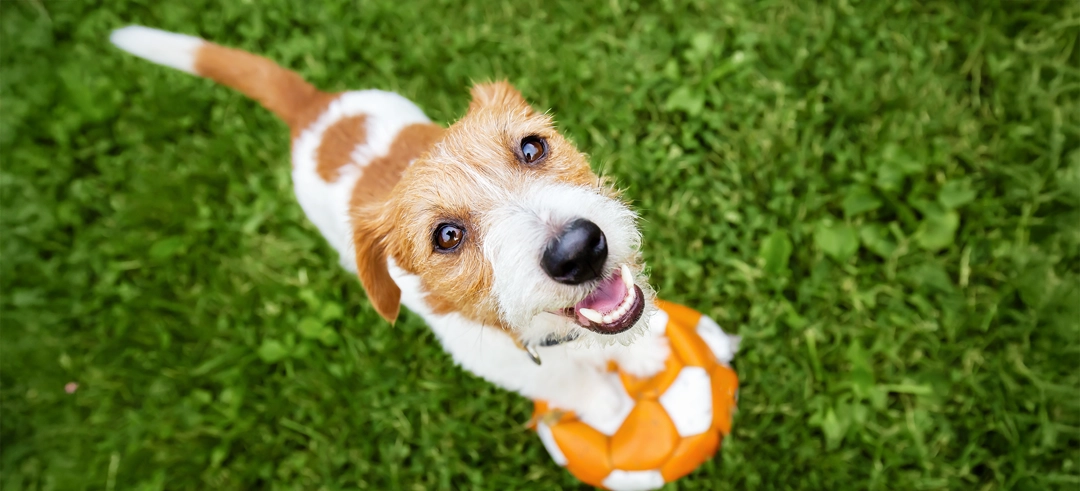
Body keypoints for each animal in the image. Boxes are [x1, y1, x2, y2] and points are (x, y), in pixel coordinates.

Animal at [113, 24, 678, 420]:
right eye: (446, 237)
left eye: (532, 147)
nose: (579, 250)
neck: (552, 336)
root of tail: (314, 109)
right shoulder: (519, 370)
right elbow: (575, 386)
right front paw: (611, 408)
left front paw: (644, 355)